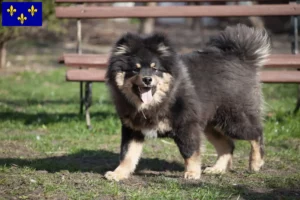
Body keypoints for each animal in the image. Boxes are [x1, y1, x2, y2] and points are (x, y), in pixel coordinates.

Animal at [103, 23, 270, 181]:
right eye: (135, 69)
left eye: (155, 68)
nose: (147, 79)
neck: (159, 102)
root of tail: (241, 57)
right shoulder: (133, 129)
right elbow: (127, 154)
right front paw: (118, 173)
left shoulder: (186, 125)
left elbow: (189, 152)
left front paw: (192, 173)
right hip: (211, 124)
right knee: (228, 145)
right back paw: (217, 169)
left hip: (232, 120)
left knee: (257, 133)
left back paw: (256, 163)